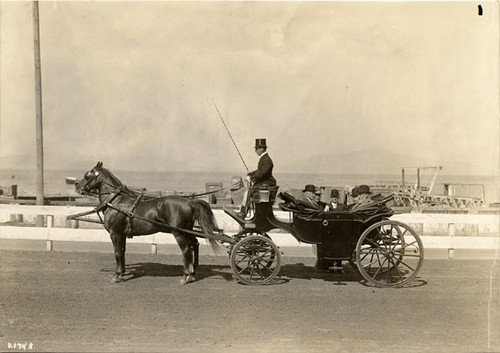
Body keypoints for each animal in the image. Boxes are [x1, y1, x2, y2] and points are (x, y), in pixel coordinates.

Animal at [74, 162, 221, 284]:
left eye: (87, 175)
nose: (77, 186)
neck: (116, 202)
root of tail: (190, 201)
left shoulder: (115, 233)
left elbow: (117, 253)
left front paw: (116, 276)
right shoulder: (122, 234)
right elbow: (122, 252)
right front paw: (122, 273)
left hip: (178, 233)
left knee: (186, 250)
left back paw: (185, 276)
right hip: (186, 230)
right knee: (194, 244)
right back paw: (192, 272)